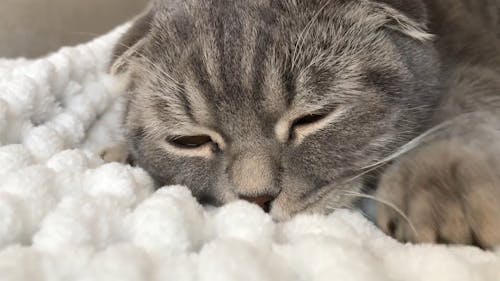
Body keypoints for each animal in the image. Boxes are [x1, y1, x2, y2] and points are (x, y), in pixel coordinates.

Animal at [105, 0, 500, 246]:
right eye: (190, 141)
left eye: (311, 118)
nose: (258, 198)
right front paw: (119, 152)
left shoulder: (478, 64)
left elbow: (463, 106)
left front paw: (441, 180)